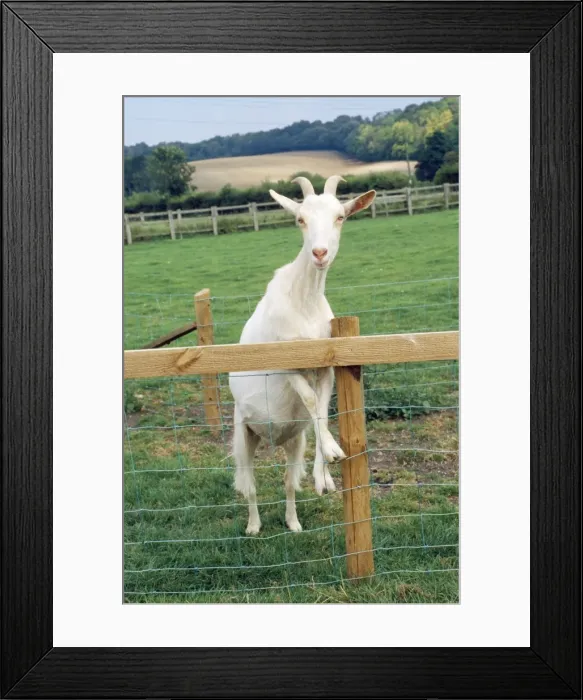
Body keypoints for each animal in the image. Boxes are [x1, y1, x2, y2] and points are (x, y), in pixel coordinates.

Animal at [229, 175, 376, 534]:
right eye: (300, 219)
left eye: (340, 217)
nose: (319, 253)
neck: (304, 301)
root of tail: (271, 438)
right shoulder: (286, 362)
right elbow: (309, 399)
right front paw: (335, 450)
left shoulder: (326, 365)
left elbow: (320, 407)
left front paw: (325, 476)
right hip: (243, 431)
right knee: (249, 483)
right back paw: (253, 526)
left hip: (293, 439)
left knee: (287, 481)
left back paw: (293, 522)